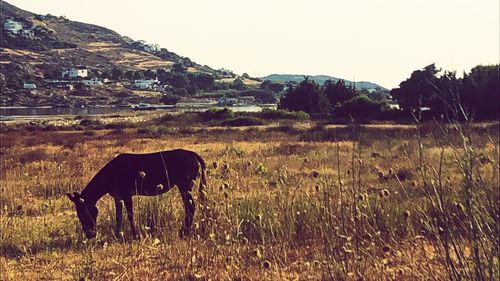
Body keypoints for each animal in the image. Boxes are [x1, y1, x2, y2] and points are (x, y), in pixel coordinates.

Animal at [67, 149, 207, 238]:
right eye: (79, 215)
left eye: (83, 213)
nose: (90, 236)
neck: (111, 174)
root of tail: (194, 154)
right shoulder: (118, 197)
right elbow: (118, 217)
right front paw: (118, 236)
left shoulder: (127, 195)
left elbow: (130, 215)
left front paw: (135, 236)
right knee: (190, 207)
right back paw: (185, 231)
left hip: (184, 186)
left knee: (190, 207)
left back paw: (184, 232)